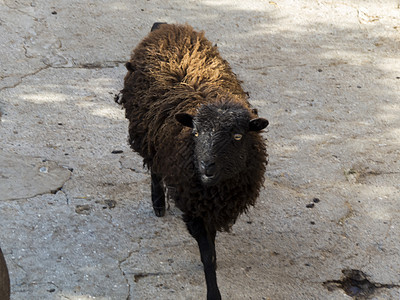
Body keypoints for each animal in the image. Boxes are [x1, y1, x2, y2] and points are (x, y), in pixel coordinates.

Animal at [118, 24, 268, 300]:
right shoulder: (193, 205)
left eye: (237, 135)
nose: (206, 166)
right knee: (154, 169)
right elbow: (207, 255)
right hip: (148, 138)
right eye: (196, 133)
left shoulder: (212, 204)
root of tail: (168, 27)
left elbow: (212, 249)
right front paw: (213, 292)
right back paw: (158, 204)